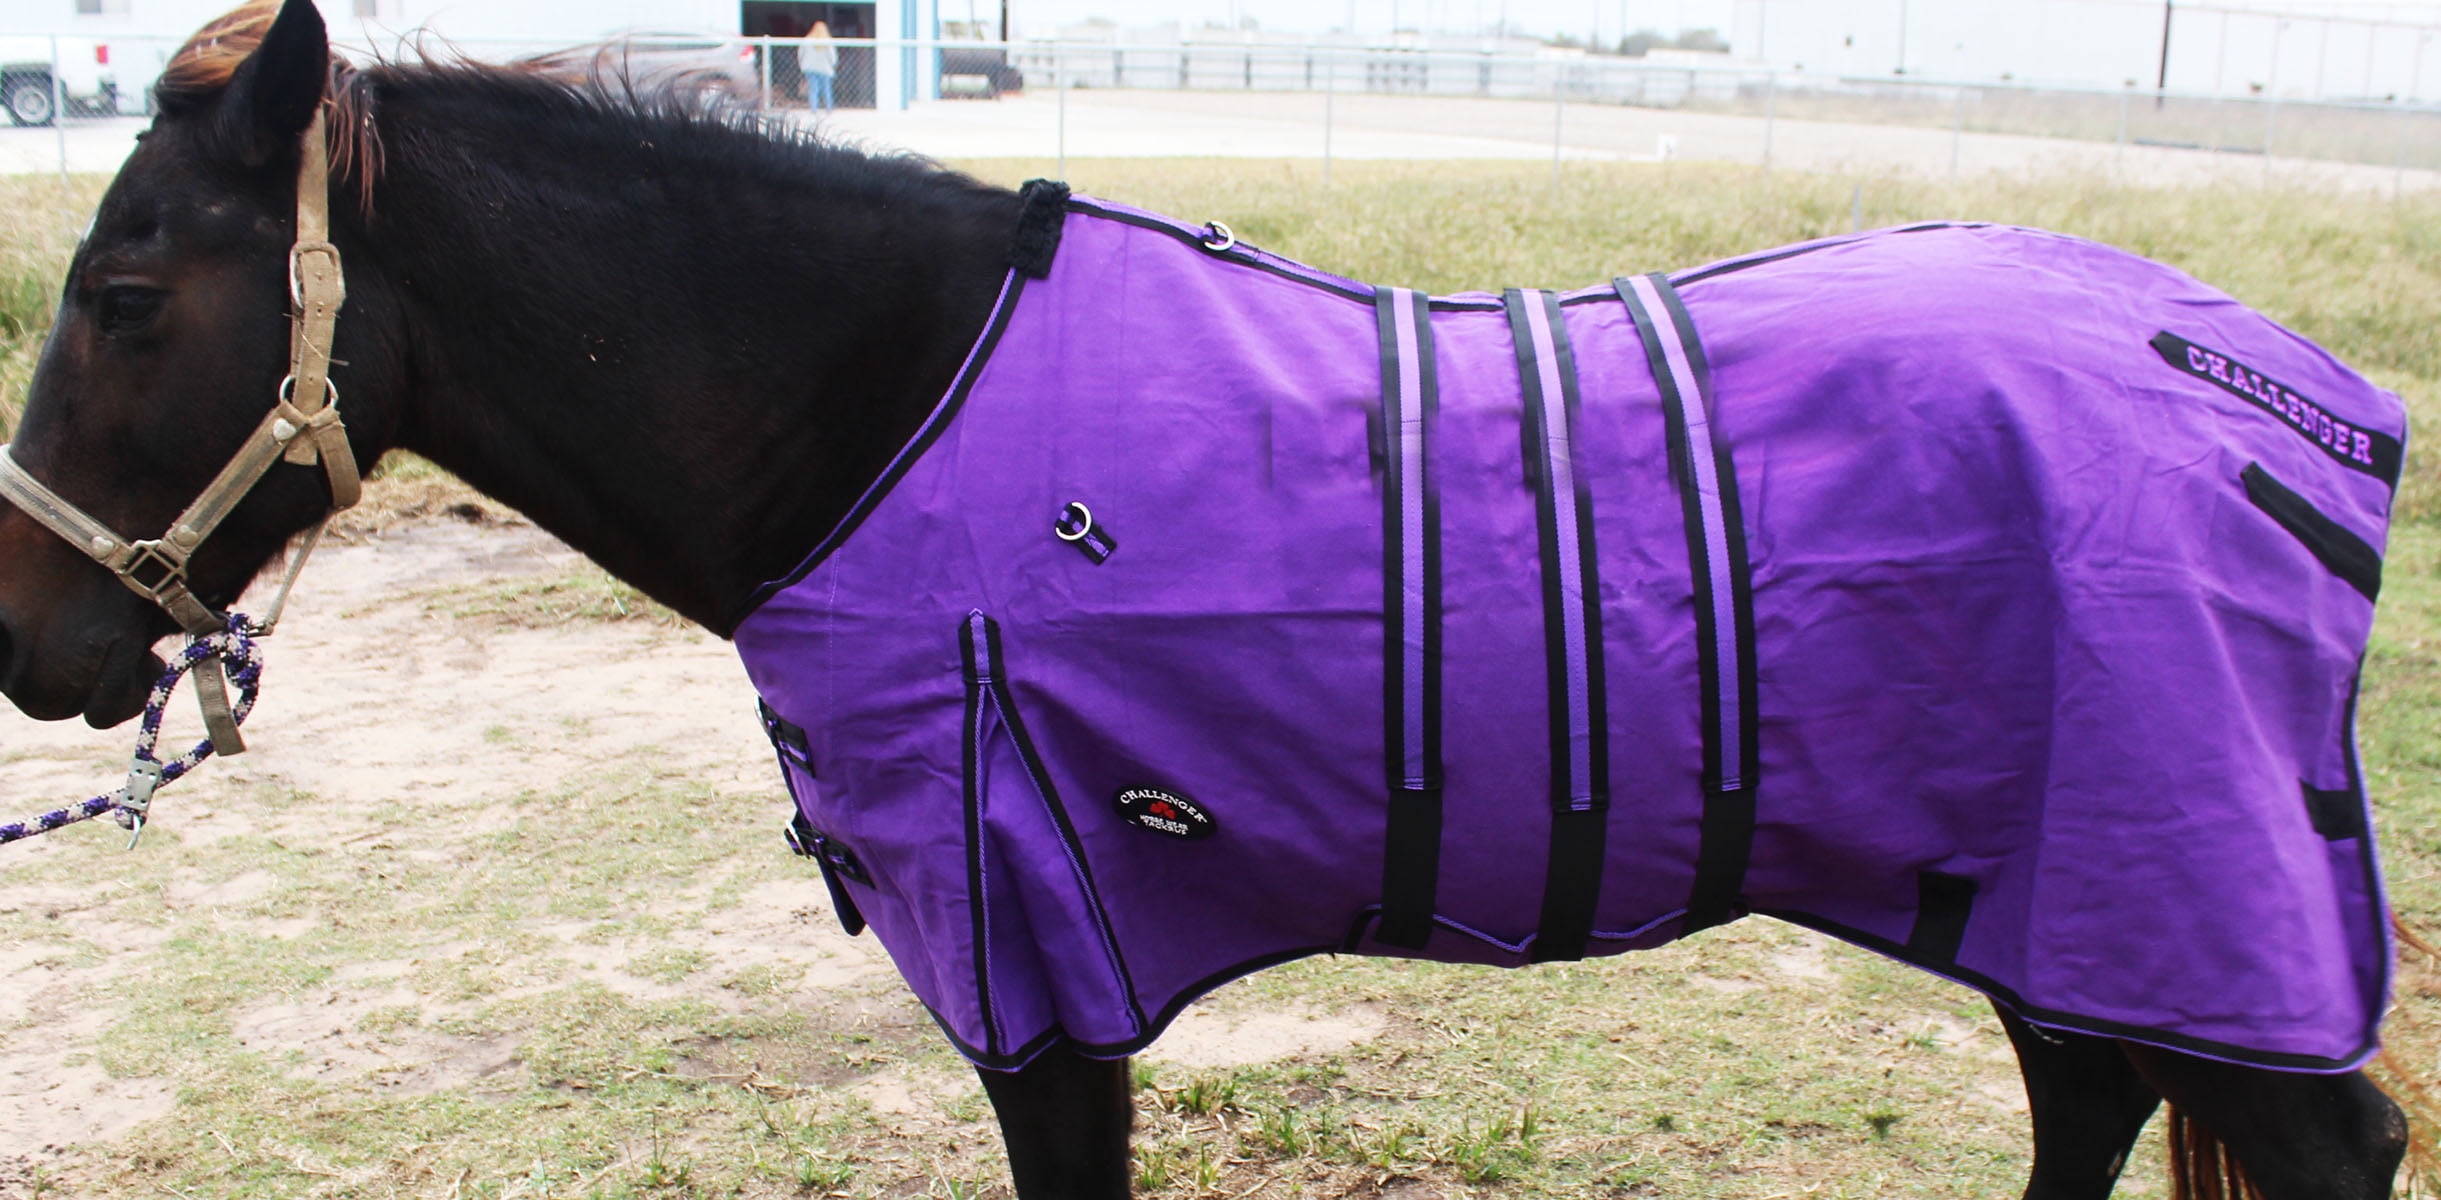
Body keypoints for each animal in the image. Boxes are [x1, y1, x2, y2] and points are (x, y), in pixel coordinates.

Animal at [0, 1, 2413, 1195]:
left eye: (122, 294)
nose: (33, 642)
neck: (884, 410)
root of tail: (2309, 408)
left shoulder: (1034, 973)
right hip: (2051, 892)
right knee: (2088, 1102)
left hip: (2154, 882)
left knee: (2314, 1140)